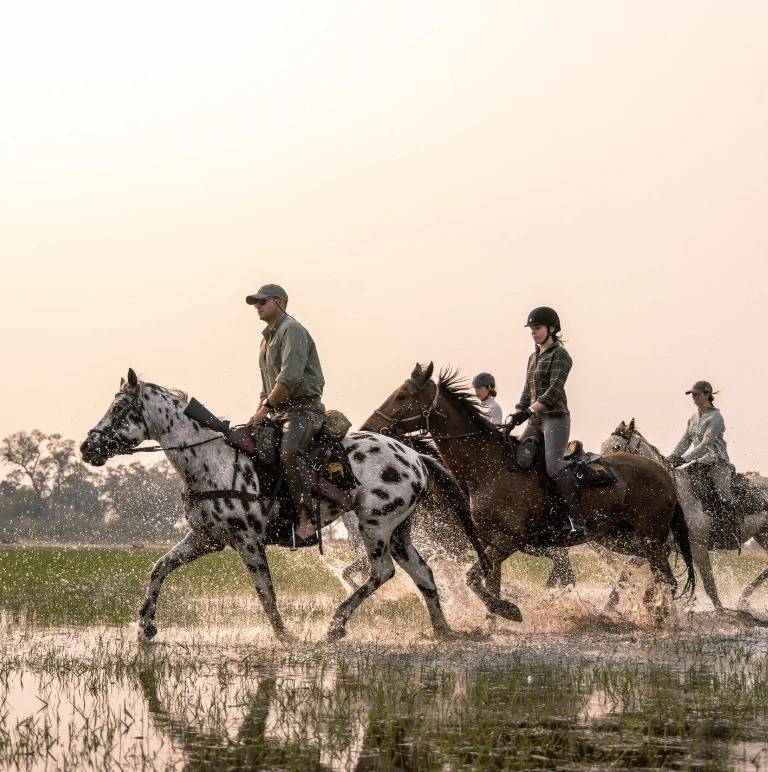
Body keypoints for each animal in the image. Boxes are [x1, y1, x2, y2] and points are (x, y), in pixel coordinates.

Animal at [80, 368, 486, 642]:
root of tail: (416, 456)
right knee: (424, 574)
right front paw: (146, 625)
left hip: (376, 525)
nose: (87, 447)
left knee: (382, 572)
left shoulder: (247, 540)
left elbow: (265, 592)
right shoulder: (207, 538)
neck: (211, 459)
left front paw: (285, 637)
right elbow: (160, 567)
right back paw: (444, 631)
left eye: (120, 408)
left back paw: (337, 624)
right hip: (400, 531)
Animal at [361, 363, 695, 624]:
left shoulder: (507, 540)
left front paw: (508, 611)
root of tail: (661, 471)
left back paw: (662, 619)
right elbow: (488, 582)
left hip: (648, 535)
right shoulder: (491, 541)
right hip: (621, 537)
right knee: (657, 570)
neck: (490, 467)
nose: (368, 426)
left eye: (401, 395)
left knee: (666, 576)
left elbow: (473, 579)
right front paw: (493, 622)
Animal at [602, 419, 768, 611]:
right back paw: (743, 598)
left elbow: (710, 586)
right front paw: (608, 607)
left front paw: (721, 612)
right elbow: (625, 572)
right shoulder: (657, 543)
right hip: (762, 535)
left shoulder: (698, 547)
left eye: (616, 446)